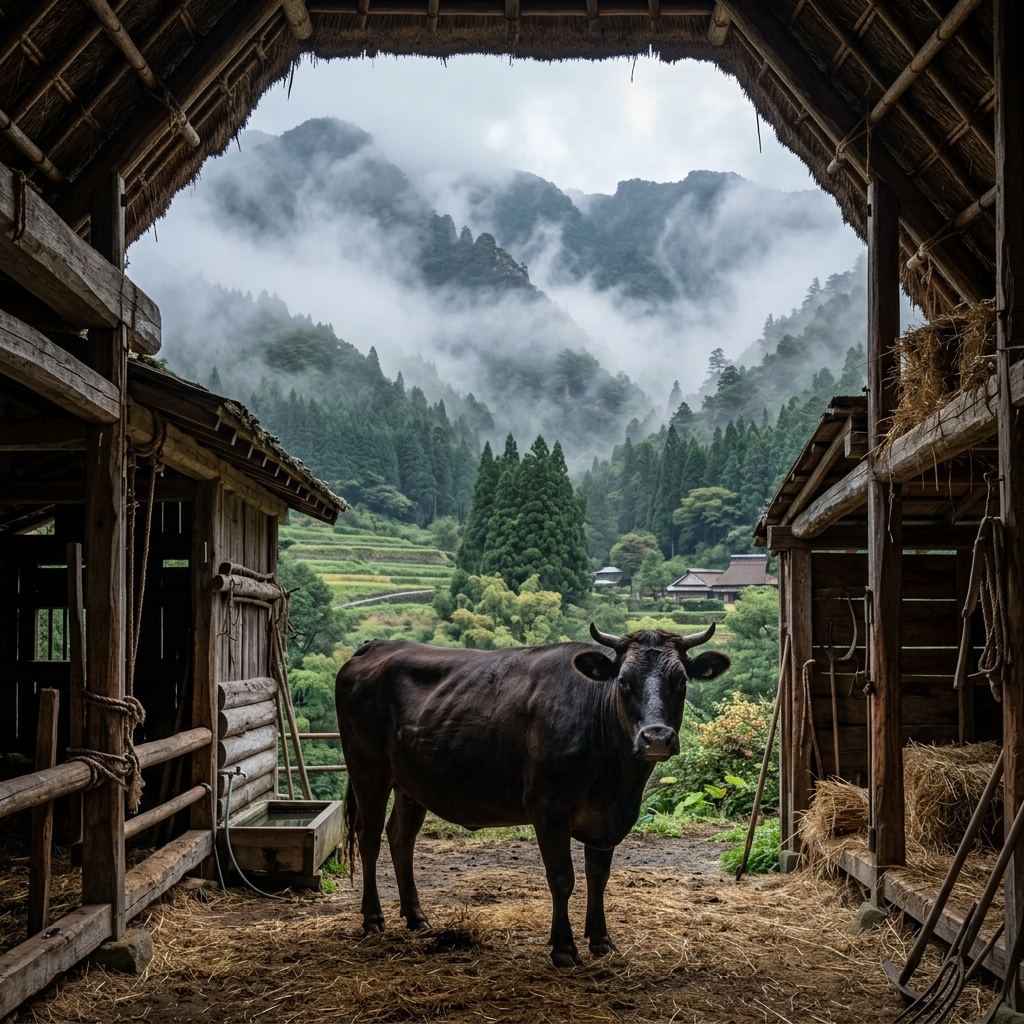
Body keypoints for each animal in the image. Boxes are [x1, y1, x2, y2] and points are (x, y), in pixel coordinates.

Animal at [335, 622, 730, 967]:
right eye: (623, 681)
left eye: (681, 680)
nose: (656, 737)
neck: (616, 782)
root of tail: (378, 645)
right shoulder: (548, 810)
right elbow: (562, 878)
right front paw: (564, 949)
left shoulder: (606, 819)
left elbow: (598, 878)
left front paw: (601, 941)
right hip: (368, 771)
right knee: (368, 838)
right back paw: (373, 919)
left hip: (410, 785)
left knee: (400, 838)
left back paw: (417, 918)